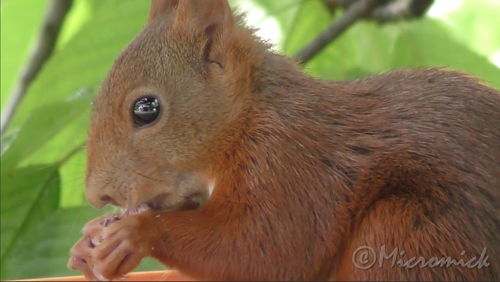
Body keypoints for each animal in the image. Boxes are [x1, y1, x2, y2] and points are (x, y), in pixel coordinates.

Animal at [67, 0, 500, 280]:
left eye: (146, 108)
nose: (97, 195)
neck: (248, 119)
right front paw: (89, 241)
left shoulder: (292, 163)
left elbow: (266, 248)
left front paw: (134, 233)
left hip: (407, 233)